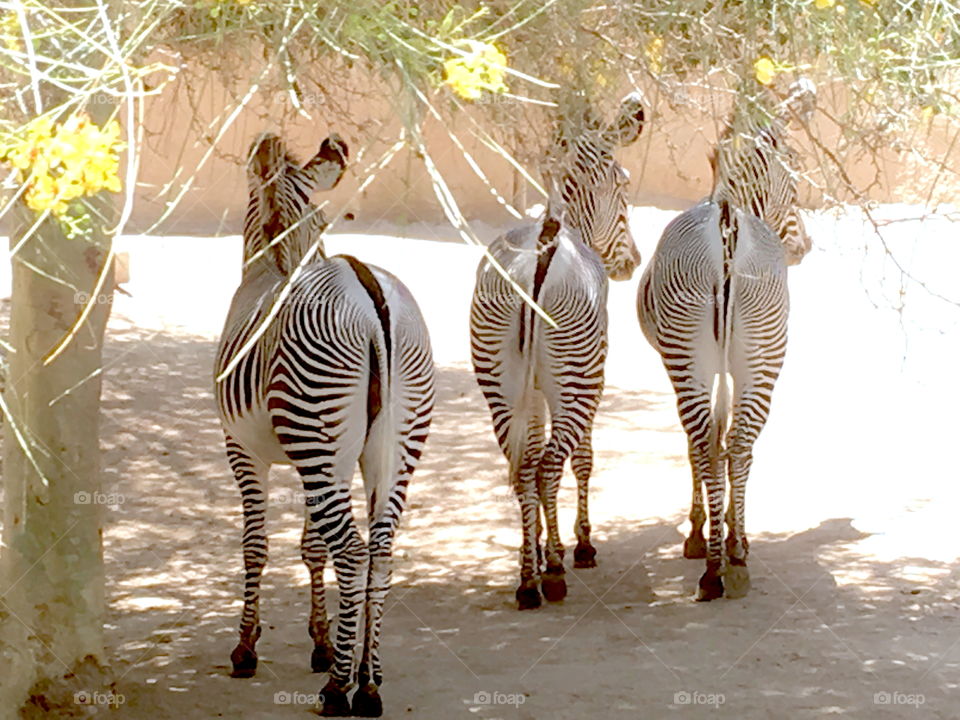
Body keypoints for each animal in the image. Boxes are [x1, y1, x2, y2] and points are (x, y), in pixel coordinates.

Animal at [215, 132, 435, 716]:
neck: (276, 263)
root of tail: (366, 286)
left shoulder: (242, 449)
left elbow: (256, 545)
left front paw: (246, 648)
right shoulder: (315, 458)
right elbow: (312, 546)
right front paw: (322, 641)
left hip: (318, 434)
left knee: (354, 552)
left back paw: (340, 690)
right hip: (390, 445)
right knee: (379, 551)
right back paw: (370, 680)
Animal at [470, 92, 646, 610]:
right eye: (623, 184)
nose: (633, 261)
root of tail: (544, 246)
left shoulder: (531, 393)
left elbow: (528, 457)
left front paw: (540, 548)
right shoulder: (594, 382)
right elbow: (583, 458)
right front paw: (579, 544)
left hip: (499, 383)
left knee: (524, 468)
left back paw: (528, 578)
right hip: (576, 379)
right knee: (550, 465)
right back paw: (550, 575)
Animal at [636, 80, 816, 601]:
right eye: (795, 173)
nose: (806, 245)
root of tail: (726, 223)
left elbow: (699, 443)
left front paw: (698, 533)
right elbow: (722, 437)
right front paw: (725, 532)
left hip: (691, 359)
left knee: (706, 441)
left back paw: (715, 560)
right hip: (760, 357)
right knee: (737, 442)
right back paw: (733, 554)